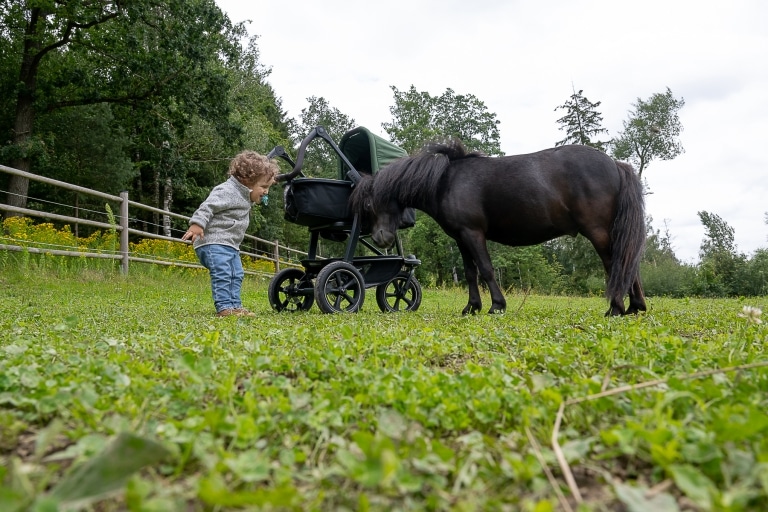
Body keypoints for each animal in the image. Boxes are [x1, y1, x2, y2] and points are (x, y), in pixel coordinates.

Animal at [352, 141, 644, 316]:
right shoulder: (461, 238)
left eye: (370, 203)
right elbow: (470, 273)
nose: (380, 238)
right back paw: (635, 307)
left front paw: (496, 306)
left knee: (616, 263)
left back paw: (616, 308)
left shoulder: (473, 233)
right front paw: (471, 307)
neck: (446, 181)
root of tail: (615, 164)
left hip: (597, 230)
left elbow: (486, 269)